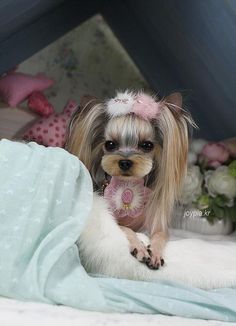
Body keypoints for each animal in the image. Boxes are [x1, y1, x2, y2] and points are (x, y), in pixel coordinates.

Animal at [65, 90, 195, 272]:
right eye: (110, 144)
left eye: (147, 145)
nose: (125, 162)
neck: (129, 186)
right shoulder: (114, 218)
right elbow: (125, 228)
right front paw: (140, 248)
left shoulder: (153, 224)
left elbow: (160, 234)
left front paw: (155, 253)